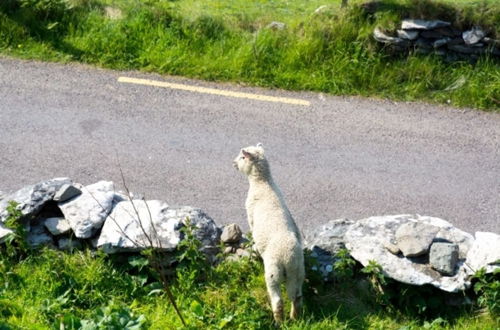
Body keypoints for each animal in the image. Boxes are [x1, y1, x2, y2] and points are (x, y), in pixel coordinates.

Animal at [233, 144, 304, 322]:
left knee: (278, 300)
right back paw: (295, 318)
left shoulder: (250, 216)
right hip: (298, 271)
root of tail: (288, 257)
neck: (263, 183)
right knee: (296, 296)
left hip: (273, 271)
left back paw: (279, 321)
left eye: (242, 157)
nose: (233, 163)